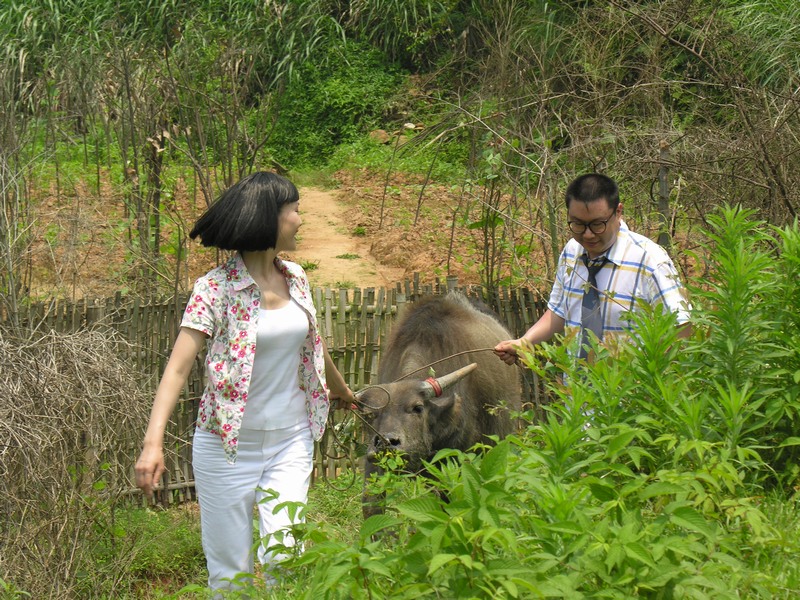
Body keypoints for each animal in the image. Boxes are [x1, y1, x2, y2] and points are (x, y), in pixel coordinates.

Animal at [356, 291, 522, 517]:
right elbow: (371, 504)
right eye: (371, 415)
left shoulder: (456, 457)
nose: (386, 442)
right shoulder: (373, 460)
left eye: (417, 408)